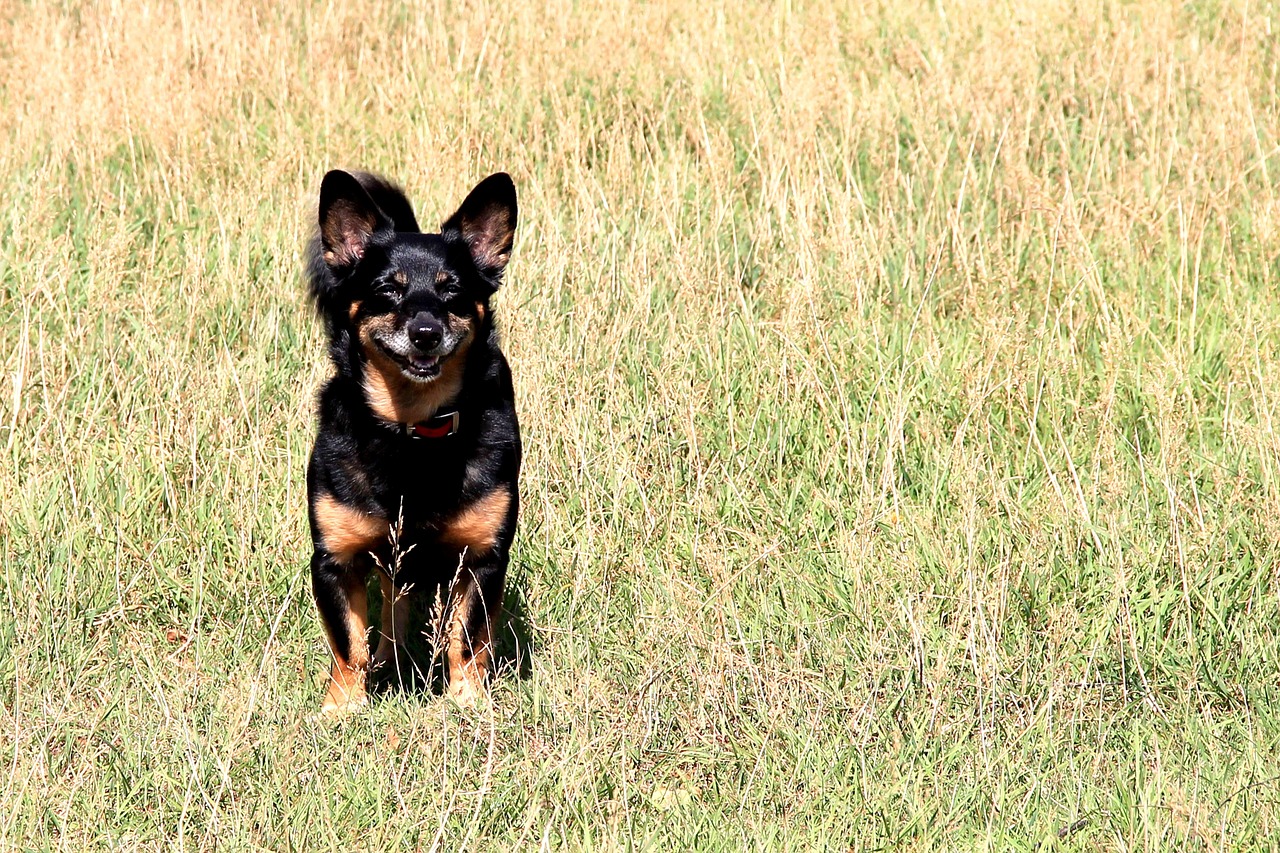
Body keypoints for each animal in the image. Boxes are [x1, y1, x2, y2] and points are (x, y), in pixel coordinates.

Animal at [303, 167, 519, 712]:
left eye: (452, 291)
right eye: (387, 289)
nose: (425, 332)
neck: (415, 431)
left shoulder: (483, 559)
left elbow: (466, 638)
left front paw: (468, 703)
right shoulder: (334, 560)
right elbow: (349, 645)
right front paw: (342, 708)